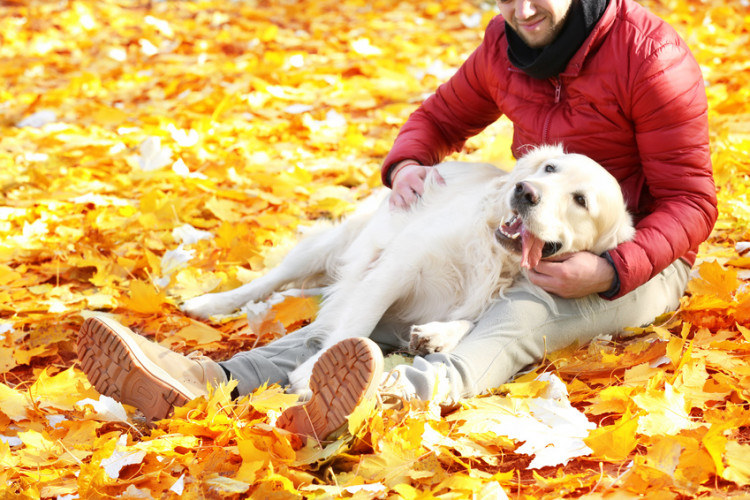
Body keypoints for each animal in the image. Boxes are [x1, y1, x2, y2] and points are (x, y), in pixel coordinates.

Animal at [182, 145, 636, 394]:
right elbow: (355, 325)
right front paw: (318, 372)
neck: (495, 258)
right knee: (274, 279)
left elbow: (470, 320)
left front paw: (437, 334)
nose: (524, 192)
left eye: (580, 201)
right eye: (549, 169)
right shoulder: (396, 266)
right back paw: (207, 304)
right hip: (334, 245)